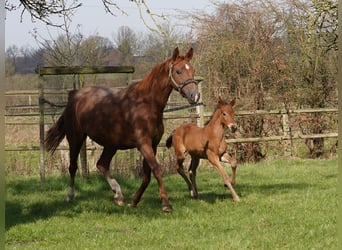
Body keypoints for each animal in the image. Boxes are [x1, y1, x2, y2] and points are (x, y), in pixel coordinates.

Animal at [45, 47, 200, 211]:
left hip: (111, 144)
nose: (194, 95)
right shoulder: (143, 144)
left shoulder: (153, 144)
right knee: (73, 166)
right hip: (76, 138)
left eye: (193, 70)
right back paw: (70, 196)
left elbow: (147, 175)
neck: (146, 104)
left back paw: (118, 195)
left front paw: (135, 200)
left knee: (101, 164)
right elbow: (157, 170)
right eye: (178, 71)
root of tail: (73, 96)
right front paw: (166, 204)